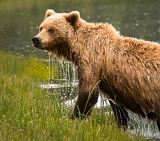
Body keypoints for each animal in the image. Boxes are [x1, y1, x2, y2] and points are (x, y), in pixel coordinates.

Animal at [32, 9, 160, 131]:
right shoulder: (109, 83)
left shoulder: (92, 61)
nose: (36, 39)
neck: (79, 47)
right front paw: (122, 125)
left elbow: (88, 92)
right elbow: (117, 106)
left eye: (51, 29)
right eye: (41, 27)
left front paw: (70, 119)